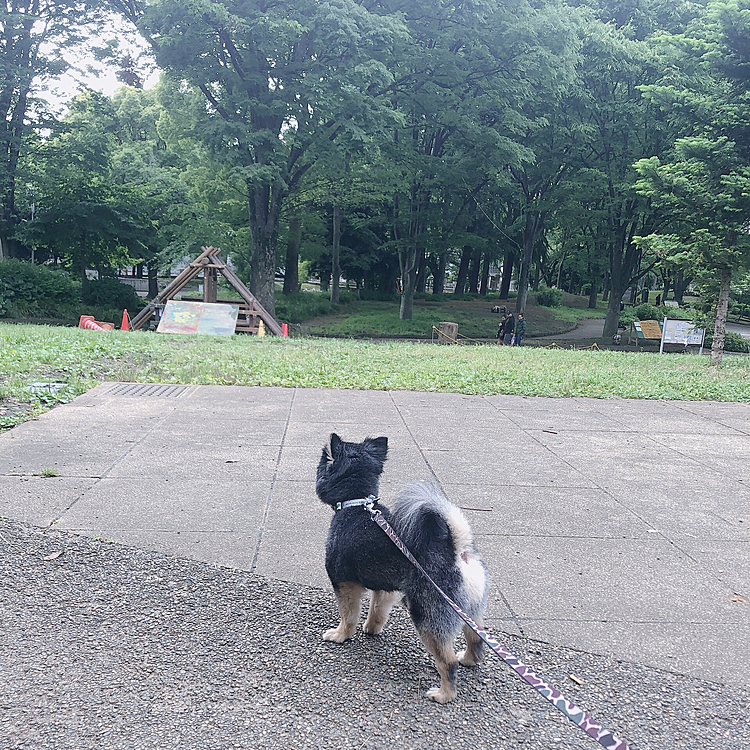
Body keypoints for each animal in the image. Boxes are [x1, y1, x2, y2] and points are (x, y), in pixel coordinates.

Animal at [316, 434, 488, 704]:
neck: (358, 504)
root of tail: (457, 551)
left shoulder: (344, 583)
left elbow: (348, 615)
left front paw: (341, 634)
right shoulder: (385, 588)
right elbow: (377, 611)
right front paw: (371, 629)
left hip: (427, 614)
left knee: (447, 662)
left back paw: (444, 694)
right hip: (468, 610)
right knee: (476, 639)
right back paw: (468, 659)